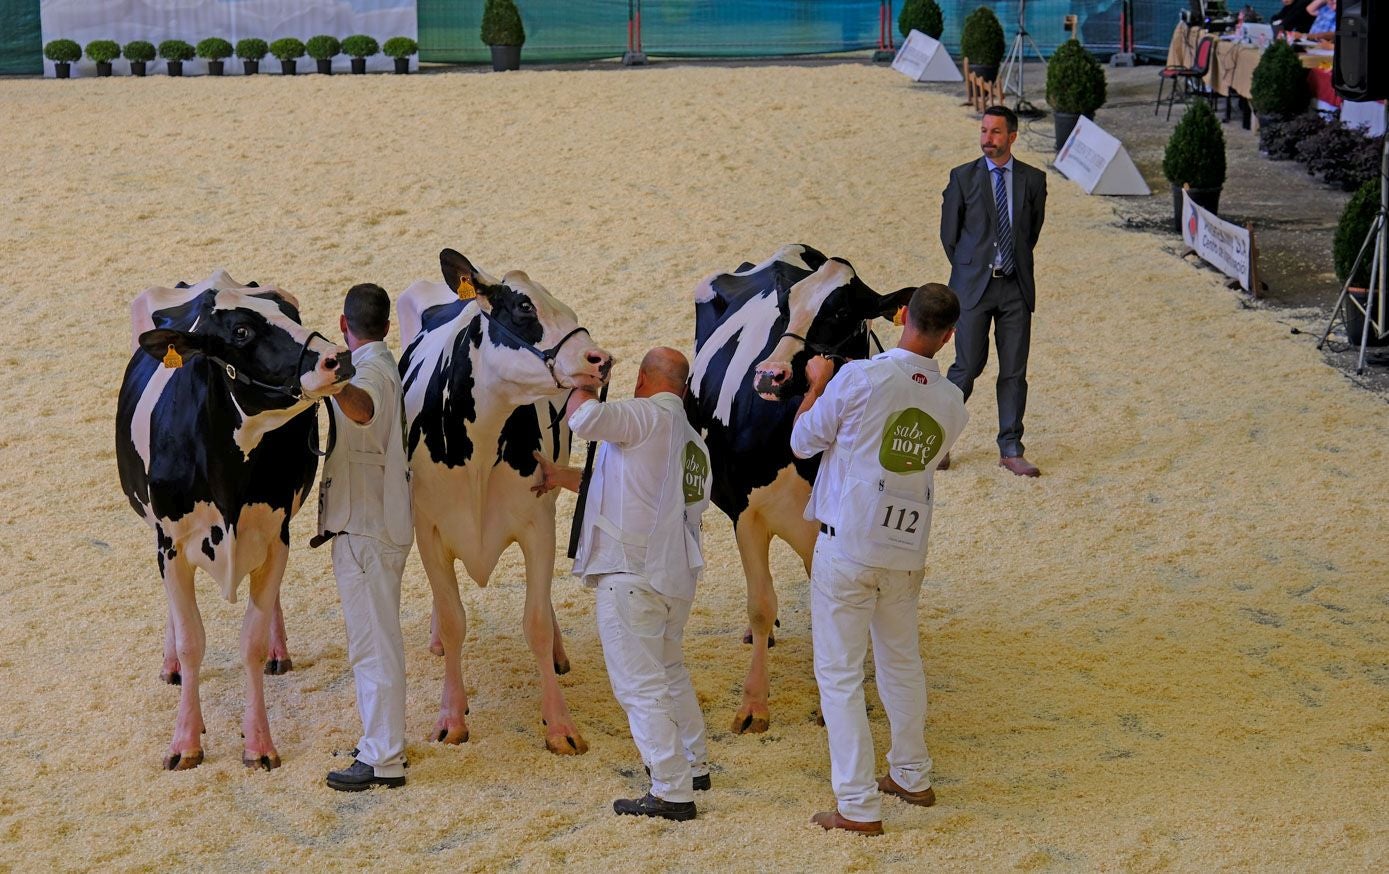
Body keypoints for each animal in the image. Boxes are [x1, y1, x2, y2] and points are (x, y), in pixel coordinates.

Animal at [117, 269, 352, 767]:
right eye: (241, 332)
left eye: (292, 315)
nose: (337, 357)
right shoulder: (171, 545)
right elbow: (191, 641)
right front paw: (185, 741)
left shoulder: (276, 535)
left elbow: (252, 641)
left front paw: (258, 742)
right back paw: (169, 666)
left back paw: (280, 652)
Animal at [400, 248, 611, 755]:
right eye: (524, 308)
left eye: (568, 309)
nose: (600, 359)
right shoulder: (428, 530)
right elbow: (454, 620)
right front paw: (450, 717)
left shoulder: (539, 525)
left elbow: (534, 622)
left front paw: (560, 724)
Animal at [688, 241, 916, 733]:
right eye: (786, 308)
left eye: (844, 311)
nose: (768, 374)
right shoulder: (747, 514)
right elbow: (761, 604)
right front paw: (753, 704)